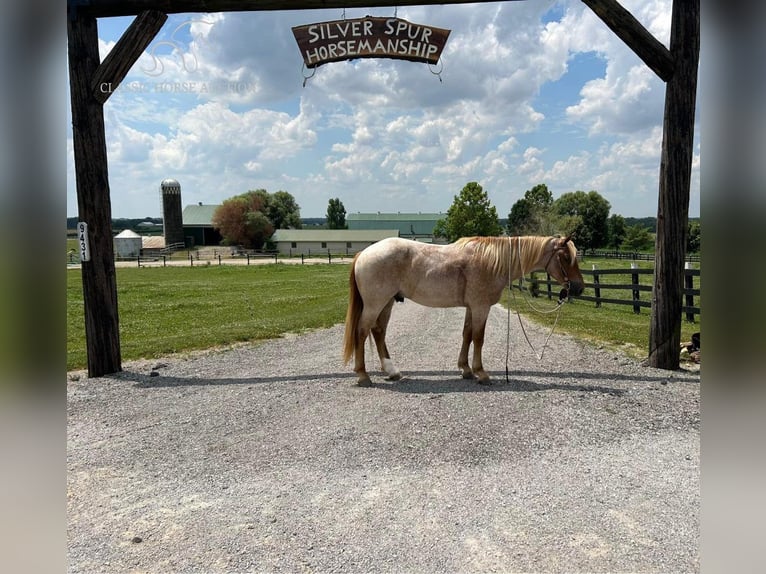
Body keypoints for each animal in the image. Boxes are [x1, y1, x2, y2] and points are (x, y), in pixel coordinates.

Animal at [344, 236, 588, 390]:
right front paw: (481, 373)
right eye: (566, 257)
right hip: (376, 304)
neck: (492, 262)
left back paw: (392, 371)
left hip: (387, 303)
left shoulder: (472, 308)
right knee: (362, 332)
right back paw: (363, 375)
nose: (578, 288)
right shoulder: (480, 307)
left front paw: (466, 369)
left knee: (378, 332)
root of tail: (364, 253)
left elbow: (467, 335)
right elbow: (479, 339)